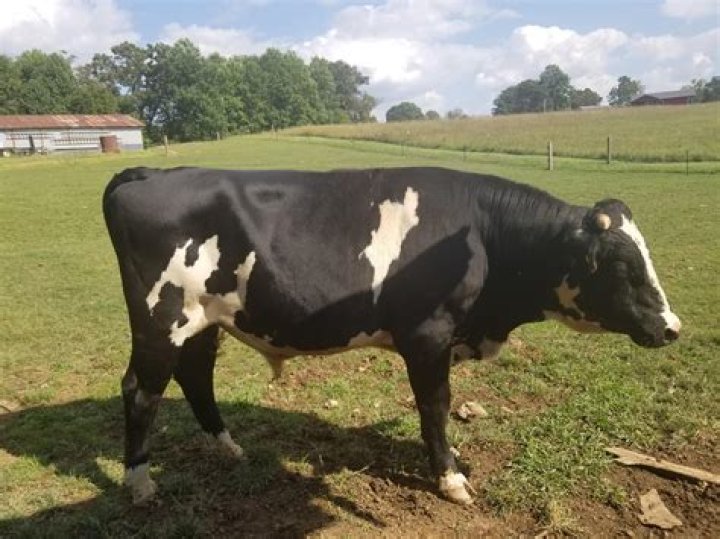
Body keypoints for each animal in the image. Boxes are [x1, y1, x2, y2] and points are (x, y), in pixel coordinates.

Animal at [103, 166, 681, 506]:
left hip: (203, 322)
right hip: (159, 319)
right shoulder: (428, 334)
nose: (672, 327)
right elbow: (435, 406)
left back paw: (227, 447)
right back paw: (139, 481)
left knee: (195, 376)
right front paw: (450, 478)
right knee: (140, 391)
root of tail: (152, 172)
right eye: (623, 267)